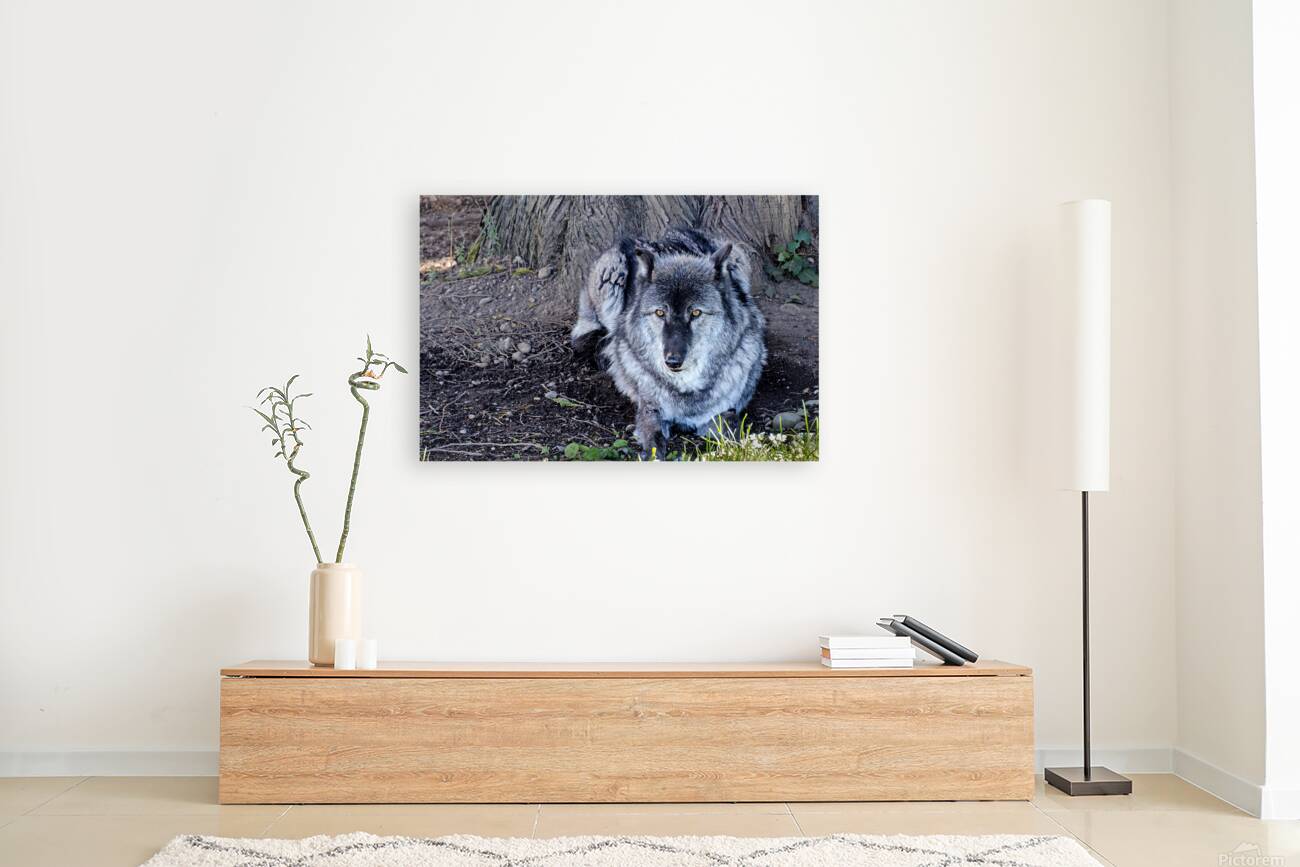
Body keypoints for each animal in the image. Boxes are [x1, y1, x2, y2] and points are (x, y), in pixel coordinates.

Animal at [570, 228, 767, 458]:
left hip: (738, 258)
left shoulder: (725, 411)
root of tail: (659, 237)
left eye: (696, 313)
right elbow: (654, 440)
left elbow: (735, 432)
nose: (672, 361)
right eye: (660, 313)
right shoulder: (650, 409)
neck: (685, 388)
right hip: (612, 274)